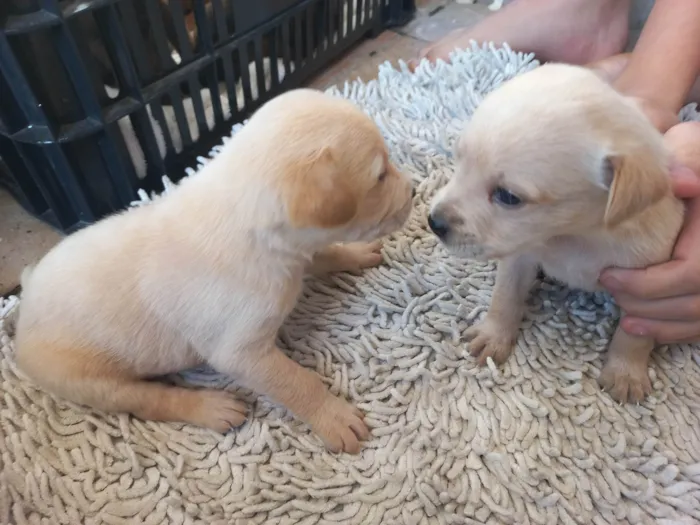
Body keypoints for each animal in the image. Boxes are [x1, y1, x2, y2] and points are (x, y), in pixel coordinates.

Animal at [15, 88, 416, 452]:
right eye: (380, 177)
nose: (413, 191)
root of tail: (24, 304)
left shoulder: (299, 254)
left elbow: (326, 253)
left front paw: (354, 253)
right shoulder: (241, 353)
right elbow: (295, 382)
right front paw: (332, 416)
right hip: (87, 378)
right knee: (148, 400)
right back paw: (211, 407)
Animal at [426, 63, 684, 404]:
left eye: (508, 196)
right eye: (459, 160)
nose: (434, 222)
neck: (572, 235)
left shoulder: (645, 284)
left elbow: (635, 332)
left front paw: (626, 373)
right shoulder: (519, 257)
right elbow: (504, 296)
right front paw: (493, 335)